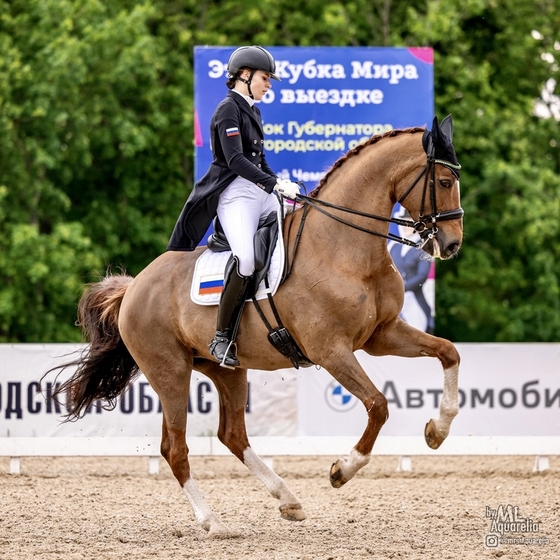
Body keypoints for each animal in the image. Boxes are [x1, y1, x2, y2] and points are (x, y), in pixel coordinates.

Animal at [52, 116, 464, 536]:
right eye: (444, 181)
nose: (451, 245)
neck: (342, 248)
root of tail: (134, 285)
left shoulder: (381, 335)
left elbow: (448, 352)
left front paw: (438, 430)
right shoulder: (331, 350)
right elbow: (378, 405)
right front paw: (342, 469)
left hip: (226, 370)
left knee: (232, 435)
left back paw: (288, 500)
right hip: (169, 371)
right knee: (175, 448)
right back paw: (213, 522)